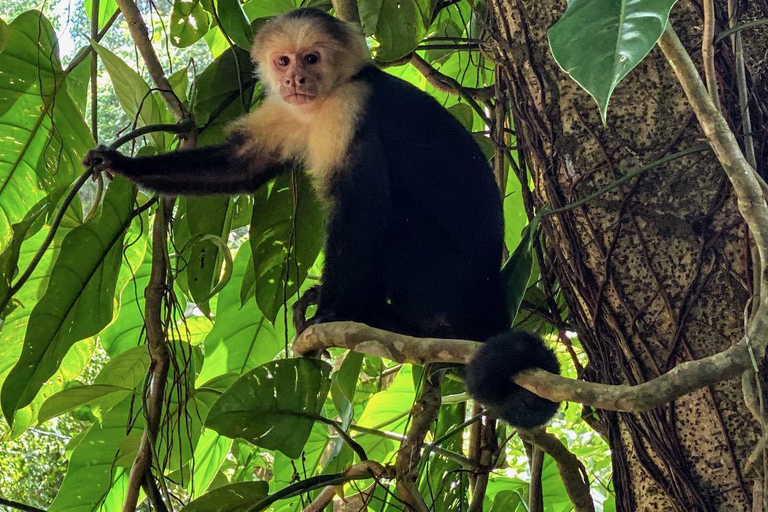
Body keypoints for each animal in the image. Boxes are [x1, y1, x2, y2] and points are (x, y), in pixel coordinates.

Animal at [84, 7, 560, 428]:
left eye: (311, 58)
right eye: (284, 60)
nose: (295, 78)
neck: (321, 103)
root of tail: (491, 298)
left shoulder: (350, 108)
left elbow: (360, 209)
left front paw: (332, 310)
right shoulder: (284, 110)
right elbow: (241, 167)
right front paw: (121, 164)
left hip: (444, 283)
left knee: (392, 213)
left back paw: (370, 314)